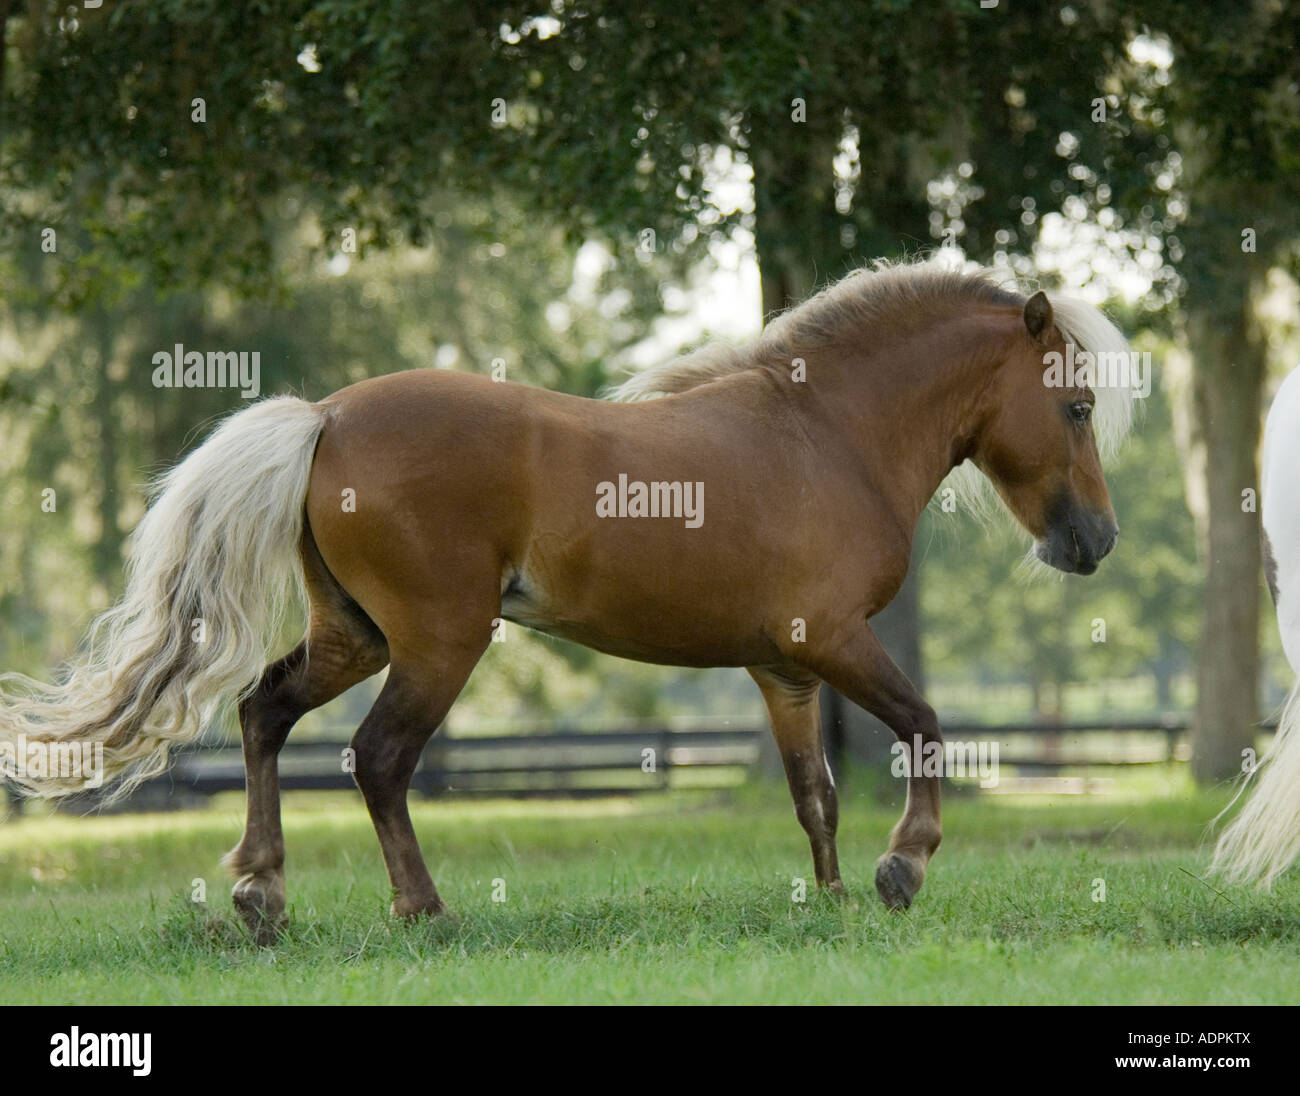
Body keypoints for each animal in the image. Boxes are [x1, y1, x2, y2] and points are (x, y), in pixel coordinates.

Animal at [0, 258, 1133, 941]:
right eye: (1075, 406)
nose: (1097, 542)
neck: (826, 433)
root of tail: (322, 418)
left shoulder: (783, 669)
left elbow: (815, 792)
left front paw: (835, 898)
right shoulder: (834, 642)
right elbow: (925, 723)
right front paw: (904, 868)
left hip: (354, 636)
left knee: (263, 713)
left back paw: (261, 892)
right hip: (438, 642)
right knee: (379, 759)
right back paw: (424, 911)